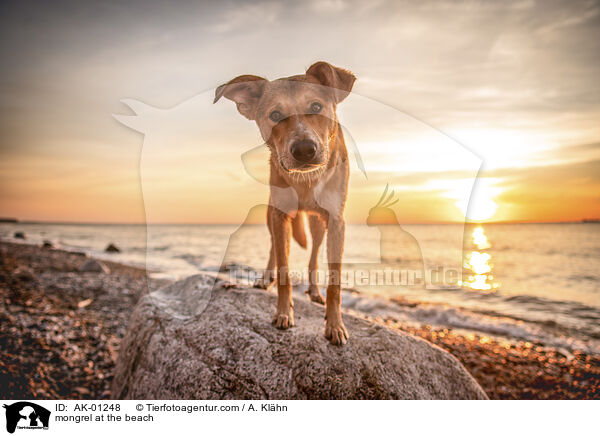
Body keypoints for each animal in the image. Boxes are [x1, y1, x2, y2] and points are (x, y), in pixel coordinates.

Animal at [216, 61, 356, 346]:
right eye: (276, 114)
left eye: (316, 107)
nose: (304, 150)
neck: (306, 181)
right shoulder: (280, 215)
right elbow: (283, 270)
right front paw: (283, 313)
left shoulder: (336, 220)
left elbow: (335, 282)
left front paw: (335, 325)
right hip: (273, 216)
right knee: (274, 247)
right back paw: (264, 279)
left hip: (318, 224)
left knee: (314, 255)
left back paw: (314, 292)